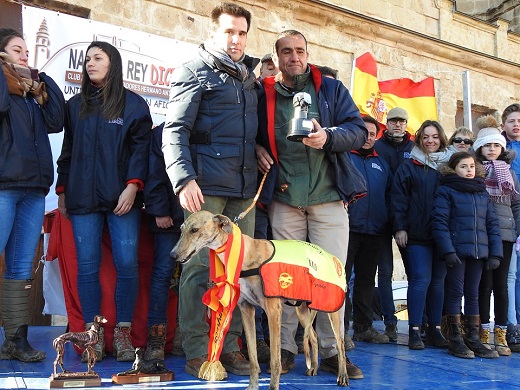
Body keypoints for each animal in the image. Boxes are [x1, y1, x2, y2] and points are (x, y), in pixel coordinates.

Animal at [172, 212, 350, 388]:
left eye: (194, 230)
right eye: (181, 229)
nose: (173, 255)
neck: (245, 253)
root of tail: (331, 257)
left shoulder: (273, 312)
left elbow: (275, 361)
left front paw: (273, 386)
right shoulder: (246, 310)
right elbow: (253, 359)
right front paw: (252, 386)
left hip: (331, 308)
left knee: (339, 343)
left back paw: (343, 375)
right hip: (302, 310)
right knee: (313, 336)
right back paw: (313, 367)